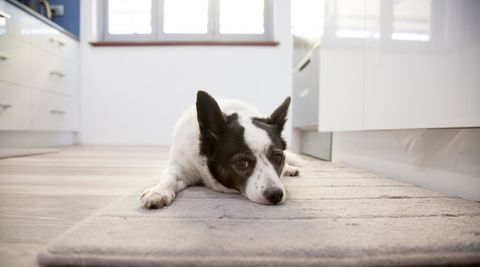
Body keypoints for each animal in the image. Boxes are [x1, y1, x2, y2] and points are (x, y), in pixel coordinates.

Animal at [140, 90, 300, 209]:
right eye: (241, 162)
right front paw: (159, 191)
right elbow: (169, 178)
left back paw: (290, 168)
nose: (276, 195)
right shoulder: (179, 169)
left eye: (278, 157)